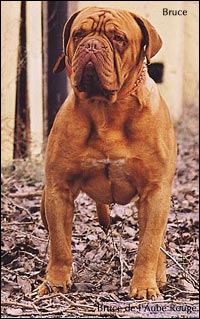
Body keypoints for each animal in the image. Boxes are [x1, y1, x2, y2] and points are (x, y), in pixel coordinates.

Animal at [38, 6, 177, 300]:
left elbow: (149, 245)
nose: (92, 45)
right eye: (79, 34)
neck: (107, 109)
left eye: (118, 38)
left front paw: (144, 285)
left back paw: (158, 275)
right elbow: (60, 244)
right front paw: (55, 281)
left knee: (158, 239)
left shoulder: (155, 192)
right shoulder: (59, 190)